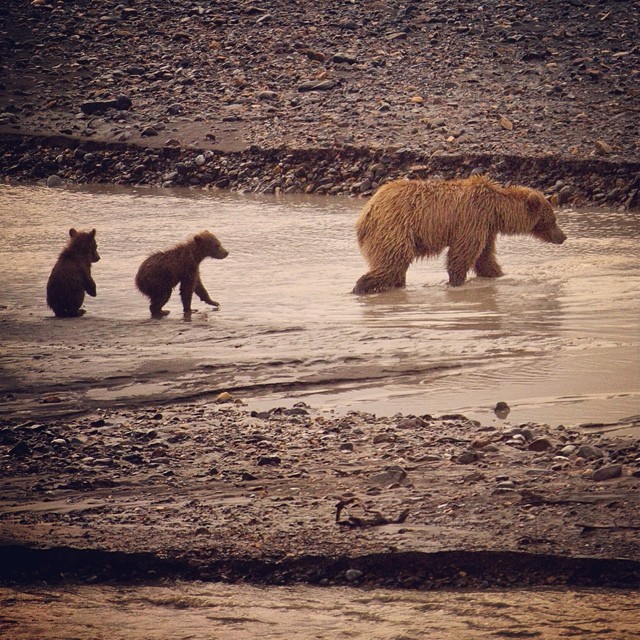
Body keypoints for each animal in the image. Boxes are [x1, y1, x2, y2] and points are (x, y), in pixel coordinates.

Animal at [352, 175, 568, 296]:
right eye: (552, 219)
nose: (564, 236)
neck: (496, 211)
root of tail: (365, 213)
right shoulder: (472, 219)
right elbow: (462, 254)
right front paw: (455, 282)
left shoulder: (487, 229)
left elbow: (485, 259)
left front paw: (499, 274)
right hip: (394, 229)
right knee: (393, 263)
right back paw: (360, 287)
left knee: (395, 269)